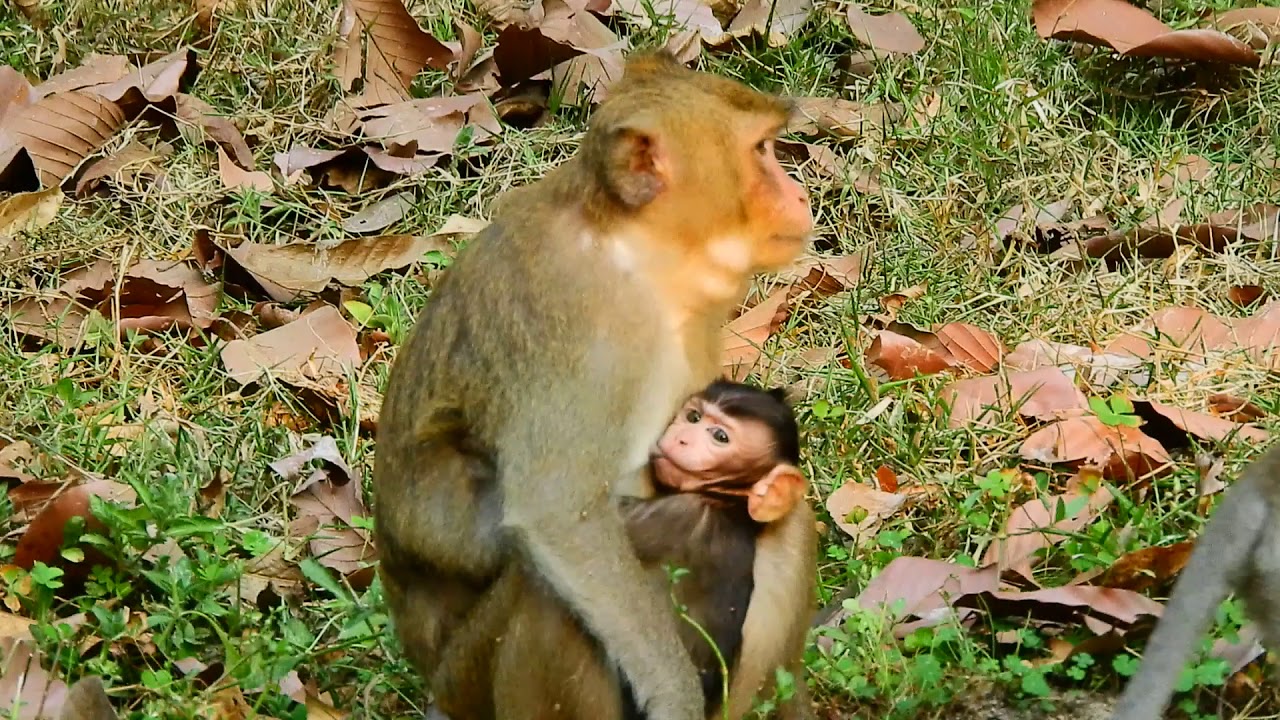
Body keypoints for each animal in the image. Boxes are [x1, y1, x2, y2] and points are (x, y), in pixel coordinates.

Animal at [372, 48, 813, 720]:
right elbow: (557, 514)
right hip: (463, 682)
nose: (799, 192)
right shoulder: (574, 322)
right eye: (762, 149)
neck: (631, 252)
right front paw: (675, 698)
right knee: (549, 595)